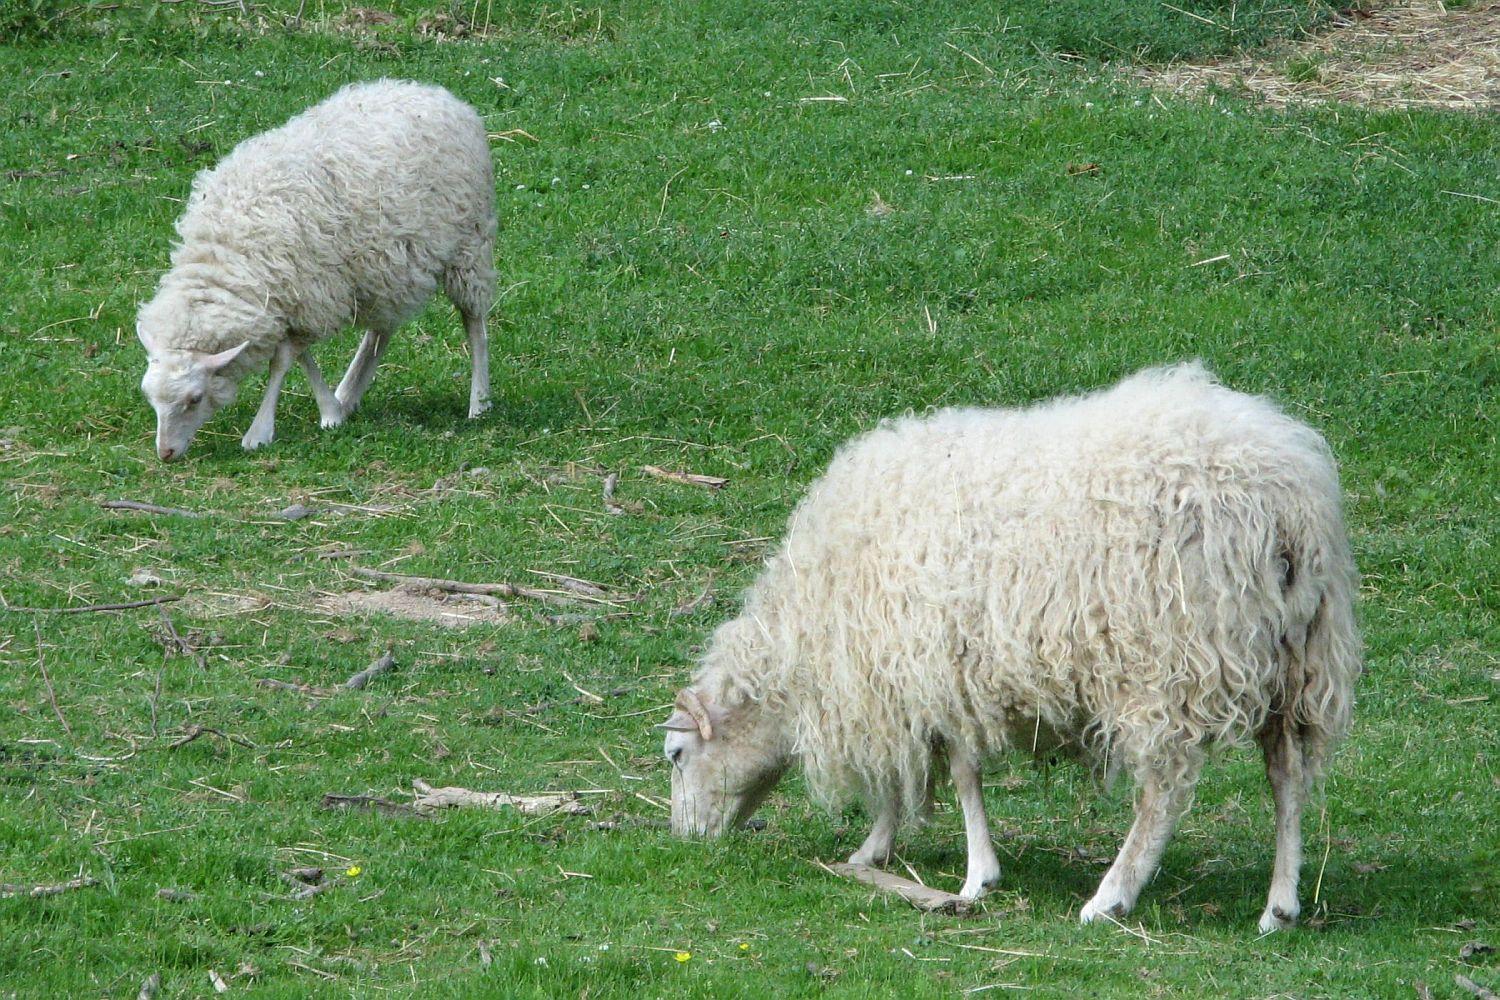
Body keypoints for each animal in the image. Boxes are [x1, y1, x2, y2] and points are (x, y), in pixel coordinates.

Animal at [137, 78, 498, 461]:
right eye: (149, 396)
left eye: (195, 398)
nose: (165, 453)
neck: (225, 259)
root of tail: (433, 92)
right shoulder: (298, 298)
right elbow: (300, 356)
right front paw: (331, 410)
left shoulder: (312, 295)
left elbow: (283, 361)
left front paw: (261, 431)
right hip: (386, 264)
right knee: (381, 330)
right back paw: (350, 392)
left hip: (469, 246)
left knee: (474, 322)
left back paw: (479, 401)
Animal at [663, 364, 1368, 935]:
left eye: (676, 755)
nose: (686, 840)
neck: (804, 628)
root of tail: (1286, 507)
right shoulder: (929, 676)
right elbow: (929, 772)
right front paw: (881, 851)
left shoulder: (921, 671)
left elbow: (949, 774)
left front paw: (966, 872)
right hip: (1297, 657)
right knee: (1287, 777)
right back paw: (1279, 907)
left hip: (1169, 662)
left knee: (1163, 791)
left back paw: (1111, 897)